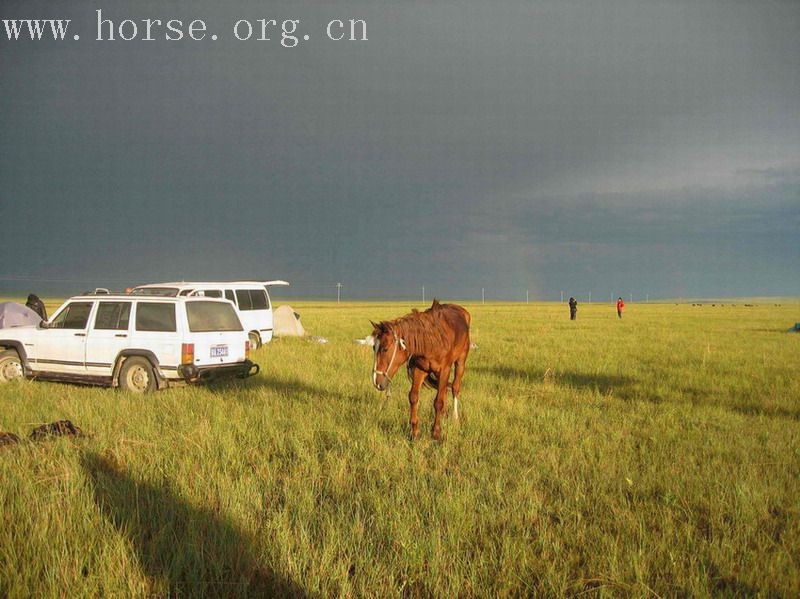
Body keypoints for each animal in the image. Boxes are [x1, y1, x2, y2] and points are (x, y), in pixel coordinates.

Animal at [372, 300, 472, 440]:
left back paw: (455, 418)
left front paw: (436, 433)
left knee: (455, 388)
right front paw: (415, 432)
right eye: (373, 348)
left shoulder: (444, 370)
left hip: (461, 361)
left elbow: (438, 402)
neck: (432, 340)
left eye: (385, 349)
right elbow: (413, 397)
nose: (377, 381)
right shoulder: (420, 370)